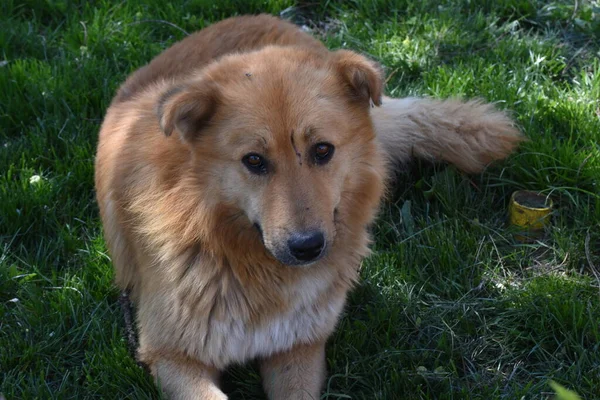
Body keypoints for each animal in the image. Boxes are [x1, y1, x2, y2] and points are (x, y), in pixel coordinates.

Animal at [94, 13, 520, 400]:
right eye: (253, 160)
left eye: (322, 150)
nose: (307, 248)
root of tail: (258, 15)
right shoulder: (170, 356)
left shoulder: (299, 346)